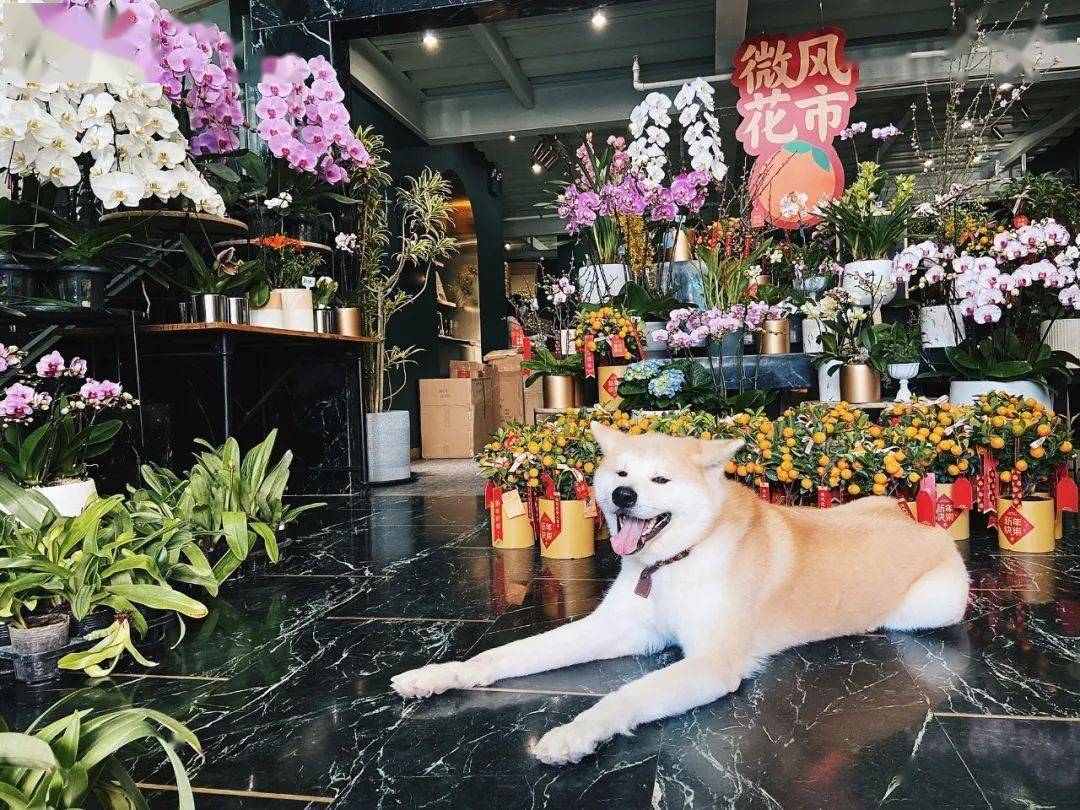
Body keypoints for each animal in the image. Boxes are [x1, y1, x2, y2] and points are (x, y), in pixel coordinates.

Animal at [390, 425, 972, 768]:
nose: (623, 495)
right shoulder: (615, 630)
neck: (674, 562)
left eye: (661, 480)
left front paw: (579, 732)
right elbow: (507, 653)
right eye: (621, 473)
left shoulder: (712, 663)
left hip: (932, 606)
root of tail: (917, 521)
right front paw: (441, 674)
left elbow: (627, 695)